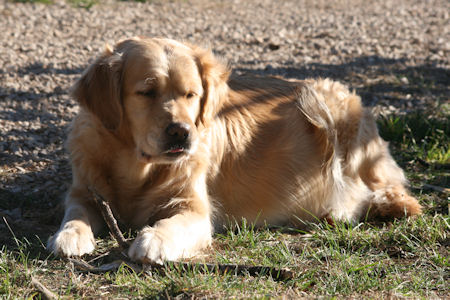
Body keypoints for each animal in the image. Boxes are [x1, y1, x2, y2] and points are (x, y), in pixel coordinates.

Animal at [46, 37, 422, 262]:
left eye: (191, 95)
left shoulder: (196, 210)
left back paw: (373, 205)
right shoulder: (84, 190)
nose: (181, 133)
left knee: (388, 186)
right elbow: (76, 213)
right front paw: (70, 235)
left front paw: (154, 239)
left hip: (331, 108)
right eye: (147, 92)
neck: (137, 169)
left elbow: (174, 223)